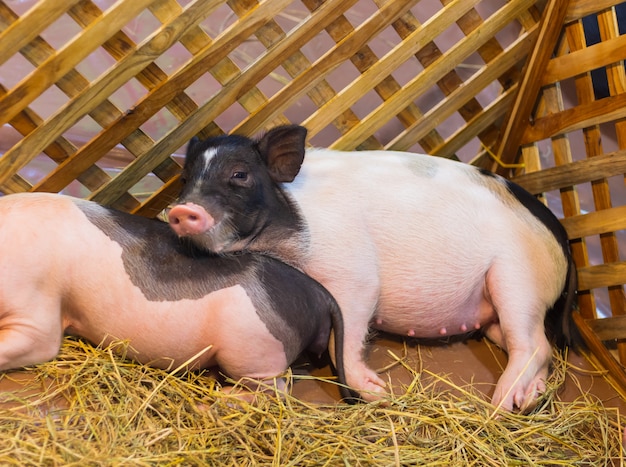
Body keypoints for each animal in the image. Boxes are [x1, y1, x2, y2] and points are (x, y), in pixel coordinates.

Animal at [0, 191, 346, 398]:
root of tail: (318, 293)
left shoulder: (37, 307)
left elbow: (42, 344)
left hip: (255, 351)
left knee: (277, 392)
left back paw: (216, 400)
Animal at [167, 125, 580, 414]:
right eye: (186, 179)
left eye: (239, 175)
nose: (182, 209)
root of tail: (563, 238)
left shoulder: (354, 274)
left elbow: (346, 335)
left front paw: (377, 392)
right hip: (497, 311)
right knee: (529, 344)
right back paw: (530, 397)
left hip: (519, 278)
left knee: (536, 344)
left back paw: (503, 404)